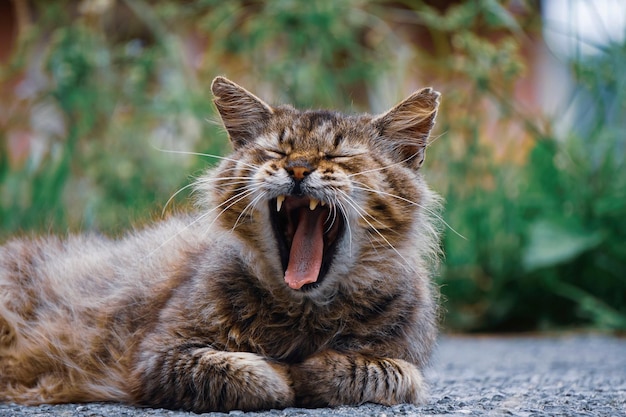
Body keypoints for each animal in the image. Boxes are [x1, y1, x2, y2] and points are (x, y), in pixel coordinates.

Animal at [0, 76, 438, 412]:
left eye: (338, 155)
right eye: (277, 151)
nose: (298, 168)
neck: (303, 314)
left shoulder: (405, 360)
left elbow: (382, 373)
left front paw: (310, 371)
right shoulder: (156, 357)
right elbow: (252, 375)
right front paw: (285, 374)